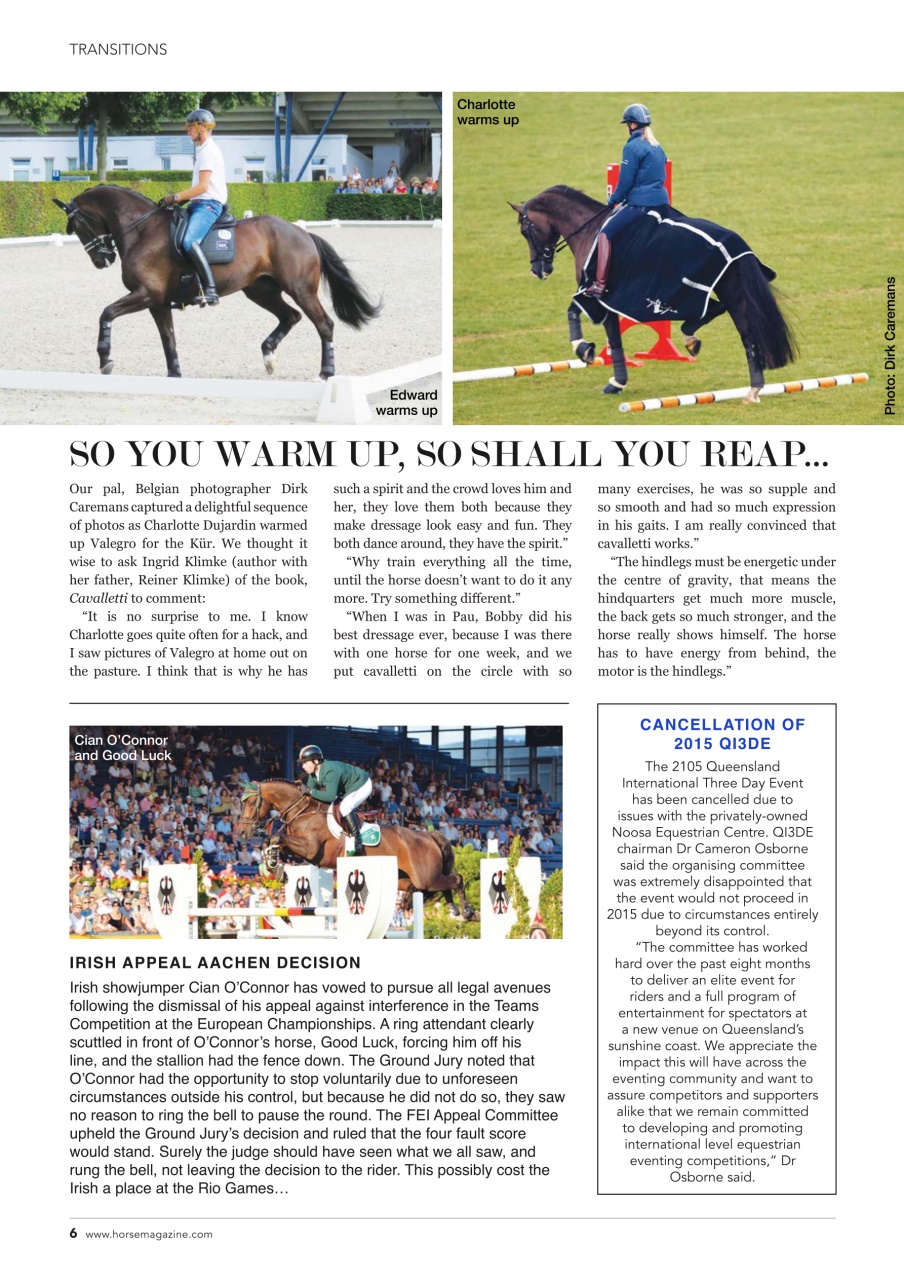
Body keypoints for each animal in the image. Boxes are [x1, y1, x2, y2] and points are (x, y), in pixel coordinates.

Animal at [52, 185, 382, 379]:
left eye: (77, 226)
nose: (102, 260)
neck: (141, 230)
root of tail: (302, 233)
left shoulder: (146, 294)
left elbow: (106, 313)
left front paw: (104, 358)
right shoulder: (158, 302)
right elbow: (168, 339)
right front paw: (174, 376)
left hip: (299, 289)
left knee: (323, 324)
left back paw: (326, 372)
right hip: (260, 290)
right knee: (291, 316)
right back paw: (268, 356)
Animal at [235, 780, 475, 921]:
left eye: (251, 803)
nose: (241, 833)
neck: (303, 811)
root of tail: (429, 835)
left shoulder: (311, 849)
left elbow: (276, 837)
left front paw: (274, 867)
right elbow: (273, 840)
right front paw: (272, 864)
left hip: (425, 877)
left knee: (456, 879)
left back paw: (466, 912)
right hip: (407, 880)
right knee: (442, 884)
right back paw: (454, 911)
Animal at [509, 186, 796, 404]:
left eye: (525, 231)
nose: (538, 270)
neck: (590, 230)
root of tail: (736, 246)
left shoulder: (598, 297)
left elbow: (589, 322)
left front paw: (594, 360)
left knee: (724, 319)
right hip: (734, 296)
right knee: (741, 331)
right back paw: (749, 386)